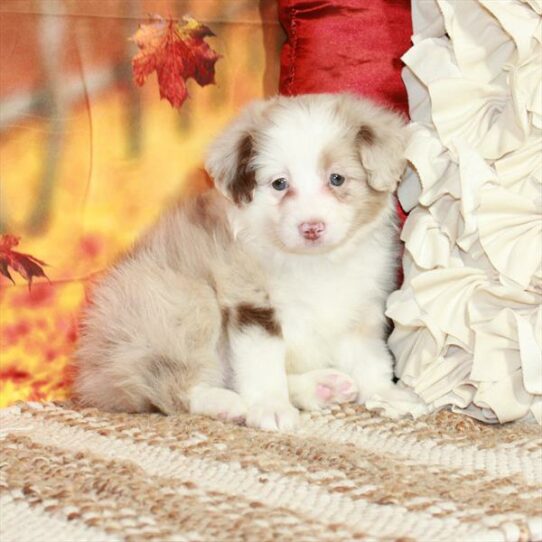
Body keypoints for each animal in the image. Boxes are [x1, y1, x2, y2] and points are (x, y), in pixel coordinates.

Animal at [75, 94, 408, 434]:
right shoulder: (250, 301)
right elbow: (262, 362)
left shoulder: (363, 306)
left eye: (337, 179)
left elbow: (370, 358)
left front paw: (386, 394)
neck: (313, 263)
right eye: (279, 184)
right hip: (180, 302)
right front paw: (271, 407)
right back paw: (226, 402)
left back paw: (321, 387)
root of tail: (95, 373)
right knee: (170, 386)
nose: (311, 228)